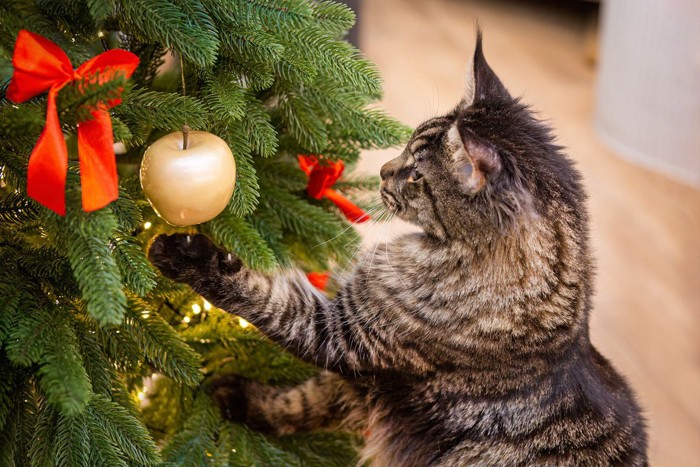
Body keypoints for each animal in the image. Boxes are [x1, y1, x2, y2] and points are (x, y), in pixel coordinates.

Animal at [150, 33, 648, 467]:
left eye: (416, 176)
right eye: (406, 145)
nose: (385, 171)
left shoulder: (345, 335)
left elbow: (259, 294)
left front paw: (181, 254)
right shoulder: (358, 378)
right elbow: (298, 403)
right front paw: (239, 399)